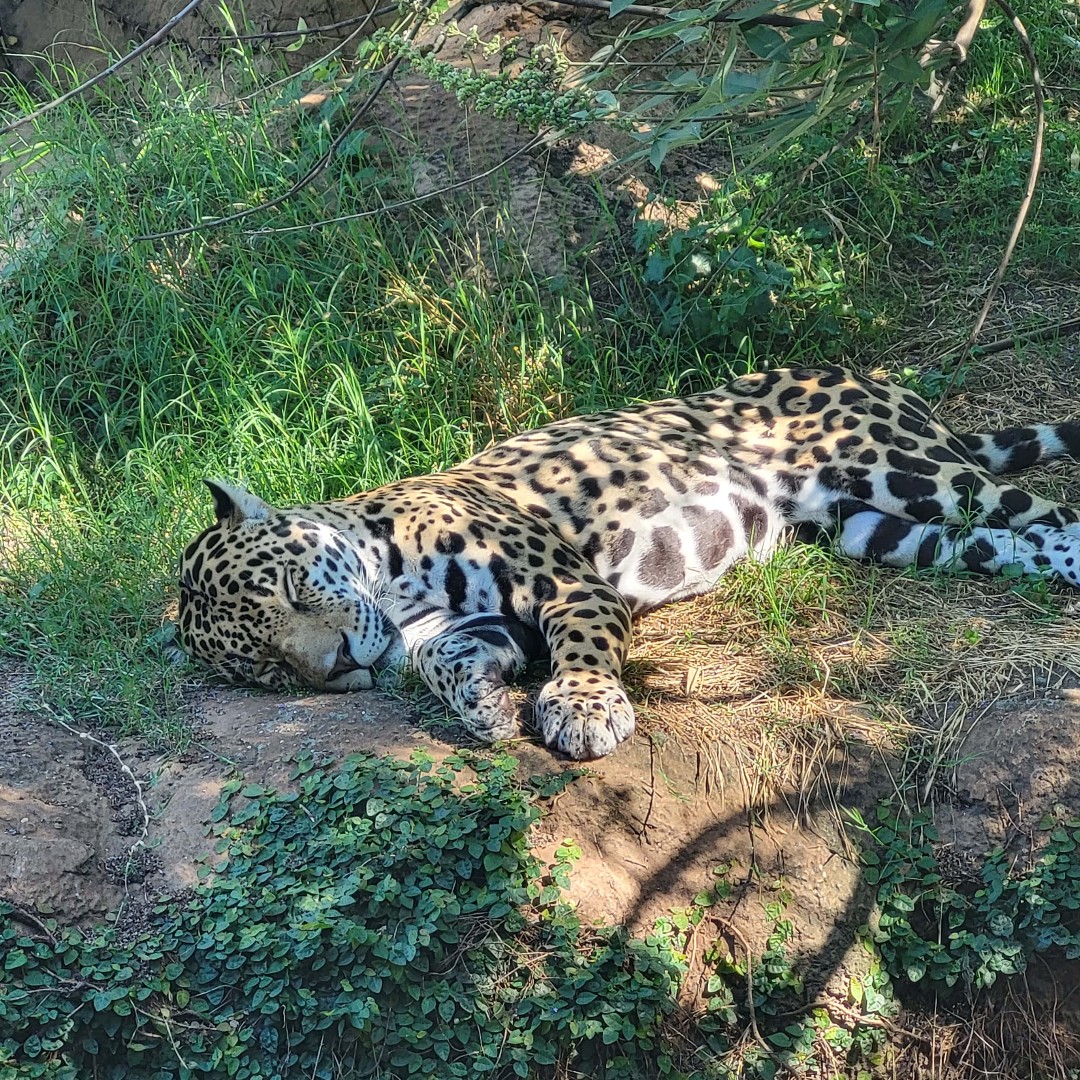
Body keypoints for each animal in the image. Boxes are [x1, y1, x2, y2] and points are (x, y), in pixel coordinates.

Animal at [175, 365, 1080, 760]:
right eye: (265, 669)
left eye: (292, 588)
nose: (336, 668)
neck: (388, 582)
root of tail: (871, 376)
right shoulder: (473, 626)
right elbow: (445, 661)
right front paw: (484, 708)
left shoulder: (566, 586)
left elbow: (579, 651)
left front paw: (581, 710)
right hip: (878, 528)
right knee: (1016, 542)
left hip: (905, 470)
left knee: (1051, 513)